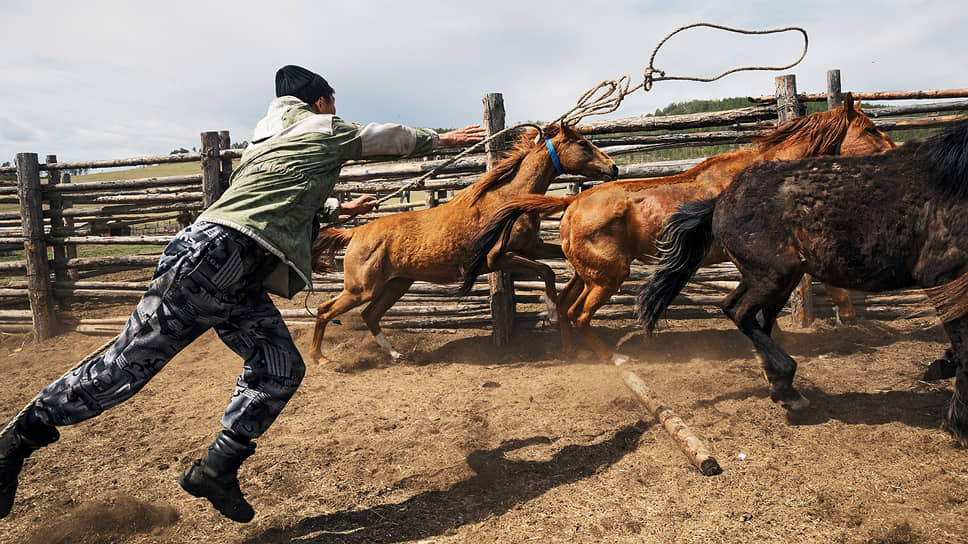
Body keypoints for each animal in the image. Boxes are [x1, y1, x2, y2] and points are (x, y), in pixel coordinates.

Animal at [308, 124, 620, 366]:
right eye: (582, 143)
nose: (613, 167)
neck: (507, 200)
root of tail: (356, 232)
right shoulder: (499, 258)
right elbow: (547, 271)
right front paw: (553, 314)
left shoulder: (532, 248)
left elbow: (559, 263)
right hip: (361, 288)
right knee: (326, 309)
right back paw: (319, 358)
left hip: (397, 284)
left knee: (370, 314)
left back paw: (396, 355)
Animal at [466, 96, 896, 366]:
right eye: (871, 130)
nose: (896, 153)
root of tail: (571, 204)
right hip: (609, 276)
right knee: (579, 313)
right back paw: (609, 358)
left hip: (586, 272)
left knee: (565, 307)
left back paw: (574, 352)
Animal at [636, 122, 968, 446]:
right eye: (871, 130)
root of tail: (721, 200)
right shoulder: (945, 278)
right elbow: (964, 348)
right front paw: (958, 425)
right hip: (773, 276)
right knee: (739, 311)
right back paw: (787, 387)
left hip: (777, 278)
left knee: (751, 317)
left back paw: (780, 386)